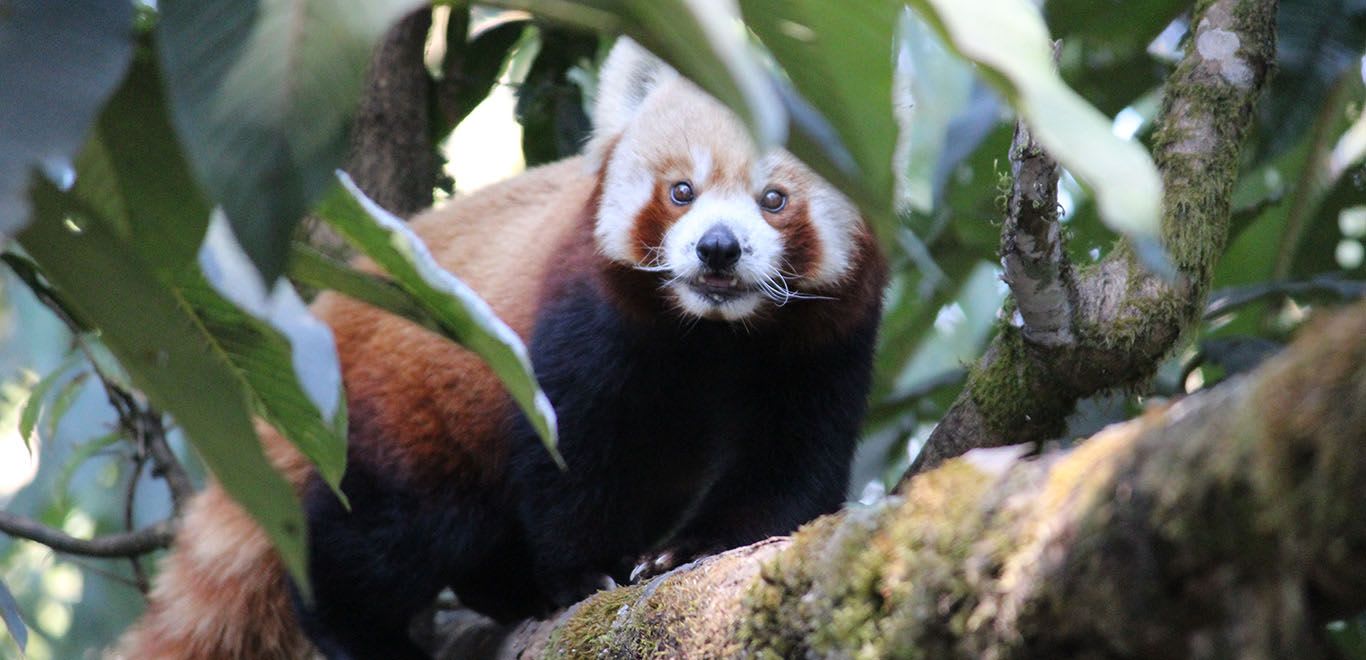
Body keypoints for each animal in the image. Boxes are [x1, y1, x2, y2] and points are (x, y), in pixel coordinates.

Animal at [114, 38, 885, 658]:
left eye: (774, 199)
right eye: (681, 191)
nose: (717, 248)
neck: (712, 333)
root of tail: (328, 316)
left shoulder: (826, 344)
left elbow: (789, 470)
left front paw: (683, 551)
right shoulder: (585, 319)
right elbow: (570, 454)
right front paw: (584, 572)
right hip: (404, 415)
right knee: (383, 532)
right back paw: (364, 627)